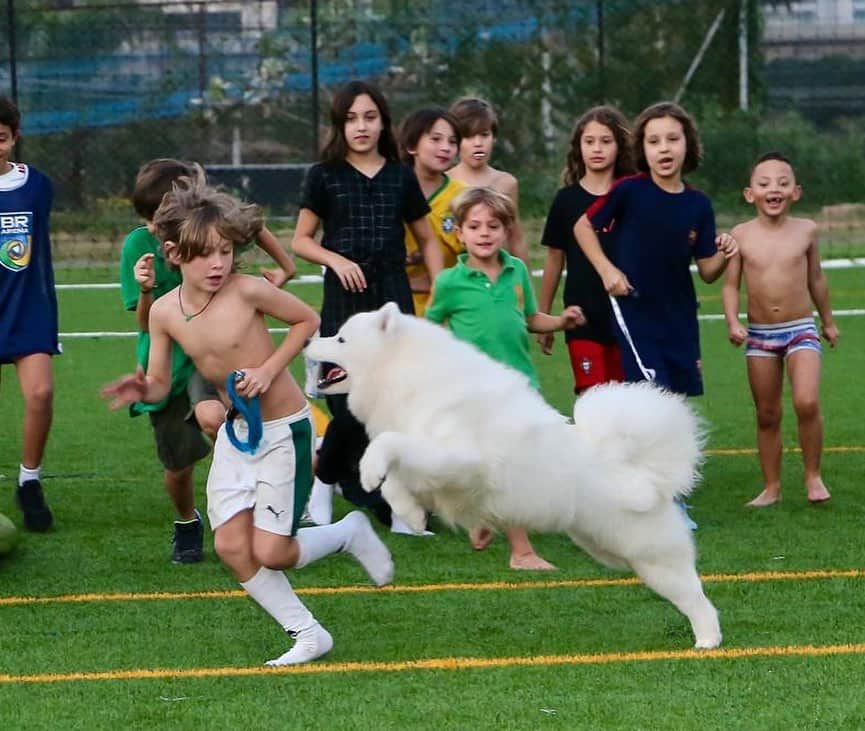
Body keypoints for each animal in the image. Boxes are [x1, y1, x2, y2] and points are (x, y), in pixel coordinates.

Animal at [306, 300, 724, 648]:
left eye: (340, 338)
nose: (310, 339)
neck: (410, 378)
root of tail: (641, 472)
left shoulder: (458, 457)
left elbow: (388, 444)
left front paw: (370, 472)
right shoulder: (433, 465)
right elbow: (397, 479)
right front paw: (409, 514)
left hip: (651, 556)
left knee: (696, 597)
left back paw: (708, 641)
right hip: (607, 549)